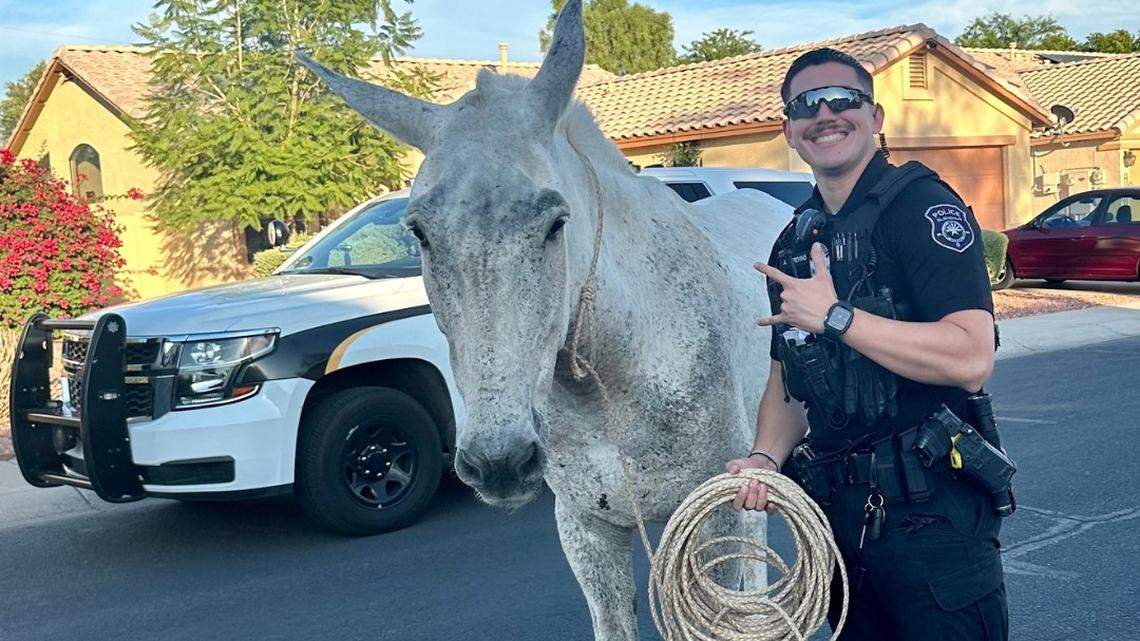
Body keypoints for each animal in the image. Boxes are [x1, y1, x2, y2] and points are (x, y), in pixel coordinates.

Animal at [298, 2, 792, 638]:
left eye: (556, 223)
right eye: (419, 232)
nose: (499, 463)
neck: (616, 383)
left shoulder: (721, 523)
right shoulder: (587, 531)